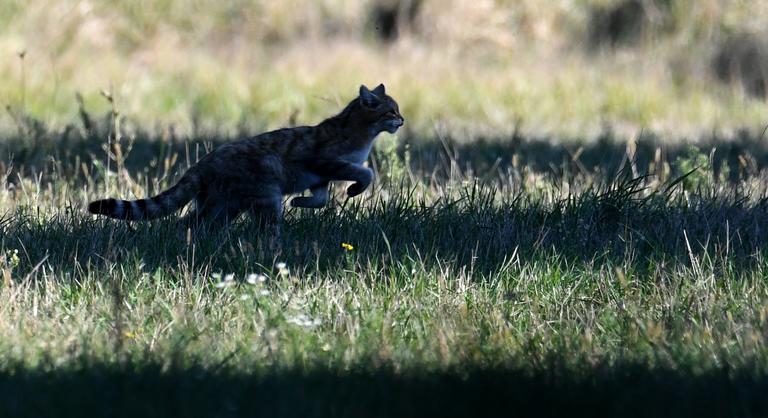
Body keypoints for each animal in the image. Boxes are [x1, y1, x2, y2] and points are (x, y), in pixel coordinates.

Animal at [88, 83, 404, 229]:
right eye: (391, 111)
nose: (402, 120)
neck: (359, 131)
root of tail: (202, 163)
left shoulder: (319, 178)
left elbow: (321, 198)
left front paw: (299, 202)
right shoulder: (325, 162)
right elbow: (364, 172)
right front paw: (353, 189)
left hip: (222, 205)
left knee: (189, 223)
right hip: (263, 199)